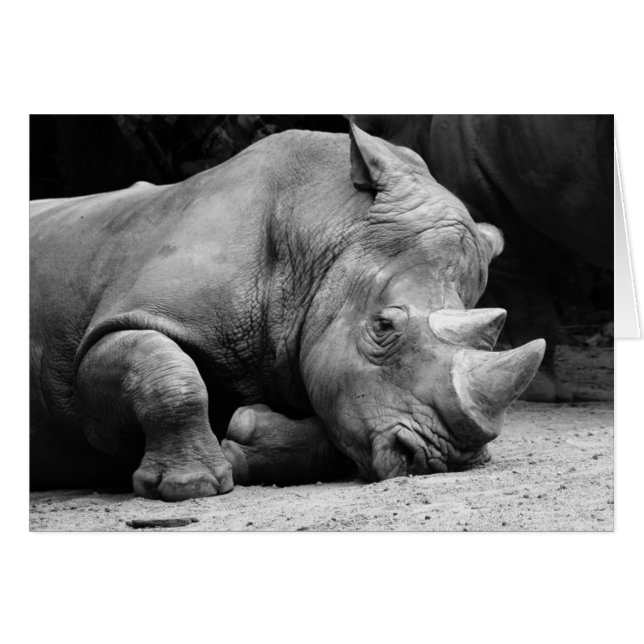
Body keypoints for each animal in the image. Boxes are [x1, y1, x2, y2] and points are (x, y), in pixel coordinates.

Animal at [30, 124, 545, 501]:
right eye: (383, 327)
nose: (444, 458)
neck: (322, 234)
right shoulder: (110, 334)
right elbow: (162, 369)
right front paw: (191, 488)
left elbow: (336, 425)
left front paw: (243, 437)